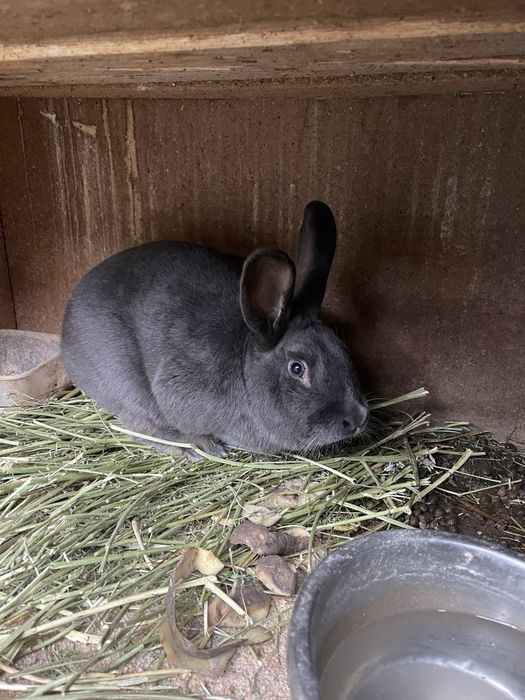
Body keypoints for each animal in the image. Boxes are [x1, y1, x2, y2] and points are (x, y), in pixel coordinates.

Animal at [61, 201, 369, 460]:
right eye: (297, 368)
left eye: (343, 348)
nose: (358, 418)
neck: (245, 367)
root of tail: (66, 323)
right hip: (126, 387)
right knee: (141, 426)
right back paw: (196, 446)